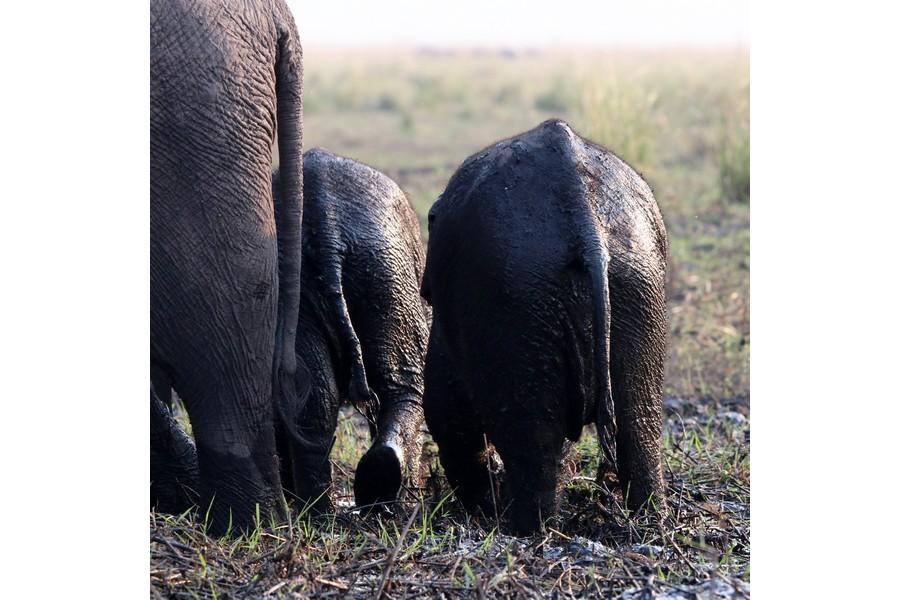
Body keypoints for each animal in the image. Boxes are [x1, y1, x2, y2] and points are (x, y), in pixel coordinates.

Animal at [272, 149, 430, 510]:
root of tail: (326, 224)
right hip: (386, 270)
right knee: (405, 388)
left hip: (367, 273)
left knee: (314, 401)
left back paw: (320, 509)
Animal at [422, 118, 668, 536]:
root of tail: (586, 218)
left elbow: (447, 413)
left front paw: (485, 506)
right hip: (636, 283)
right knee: (637, 423)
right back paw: (650, 524)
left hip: (520, 292)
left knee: (533, 437)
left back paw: (528, 532)